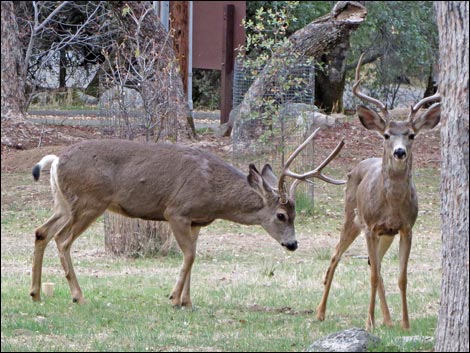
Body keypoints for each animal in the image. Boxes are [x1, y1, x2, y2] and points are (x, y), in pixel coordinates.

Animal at [30, 128, 346, 306]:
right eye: (281, 215)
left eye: (294, 214)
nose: (293, 244)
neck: (215, 194)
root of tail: (56, 160)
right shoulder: (176, 211)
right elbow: (190, 256)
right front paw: (173, 298)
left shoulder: (197, 221)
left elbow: (193, 256)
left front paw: (187, 300)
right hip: (89, 202)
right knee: (62, 239)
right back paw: (78, 295)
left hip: (64, 203)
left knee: (41, 231)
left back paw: (36, 293)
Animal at [316, 53, 440, 328]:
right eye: (386, 135)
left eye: (411, 135)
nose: (399, 152)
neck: (391, 204)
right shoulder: (371, 227)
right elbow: (372, 276)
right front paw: (369, 323)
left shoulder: (406, 228)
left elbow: (402, 277)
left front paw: (405, 324)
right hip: (352, 216)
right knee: (336, 256)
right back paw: (320, 312)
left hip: (385, 235)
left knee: (377, 265)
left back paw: (388, 320)